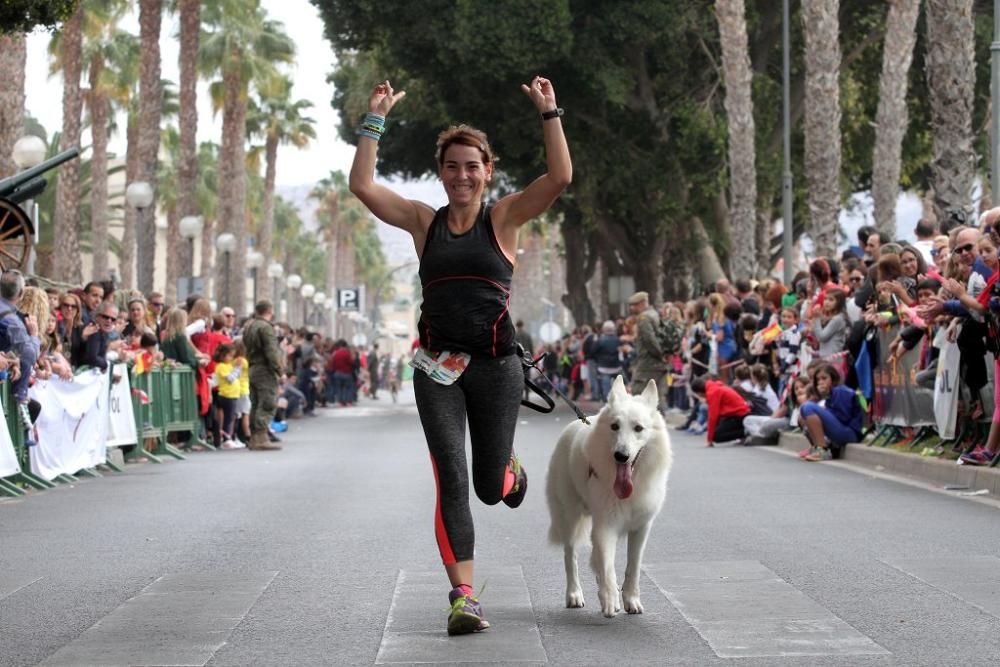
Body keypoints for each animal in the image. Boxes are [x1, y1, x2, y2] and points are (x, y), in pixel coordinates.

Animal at [544, 378, 676, 620]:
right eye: (615, 427)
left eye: (638, 428)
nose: (621, 456)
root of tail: (574, 424)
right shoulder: (605, 525)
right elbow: (607, 566)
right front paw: (610, 599)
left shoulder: (641, 528)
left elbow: (633, 567)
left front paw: (630, 600)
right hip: (569, 518)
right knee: (571, 557)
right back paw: (574, 594)